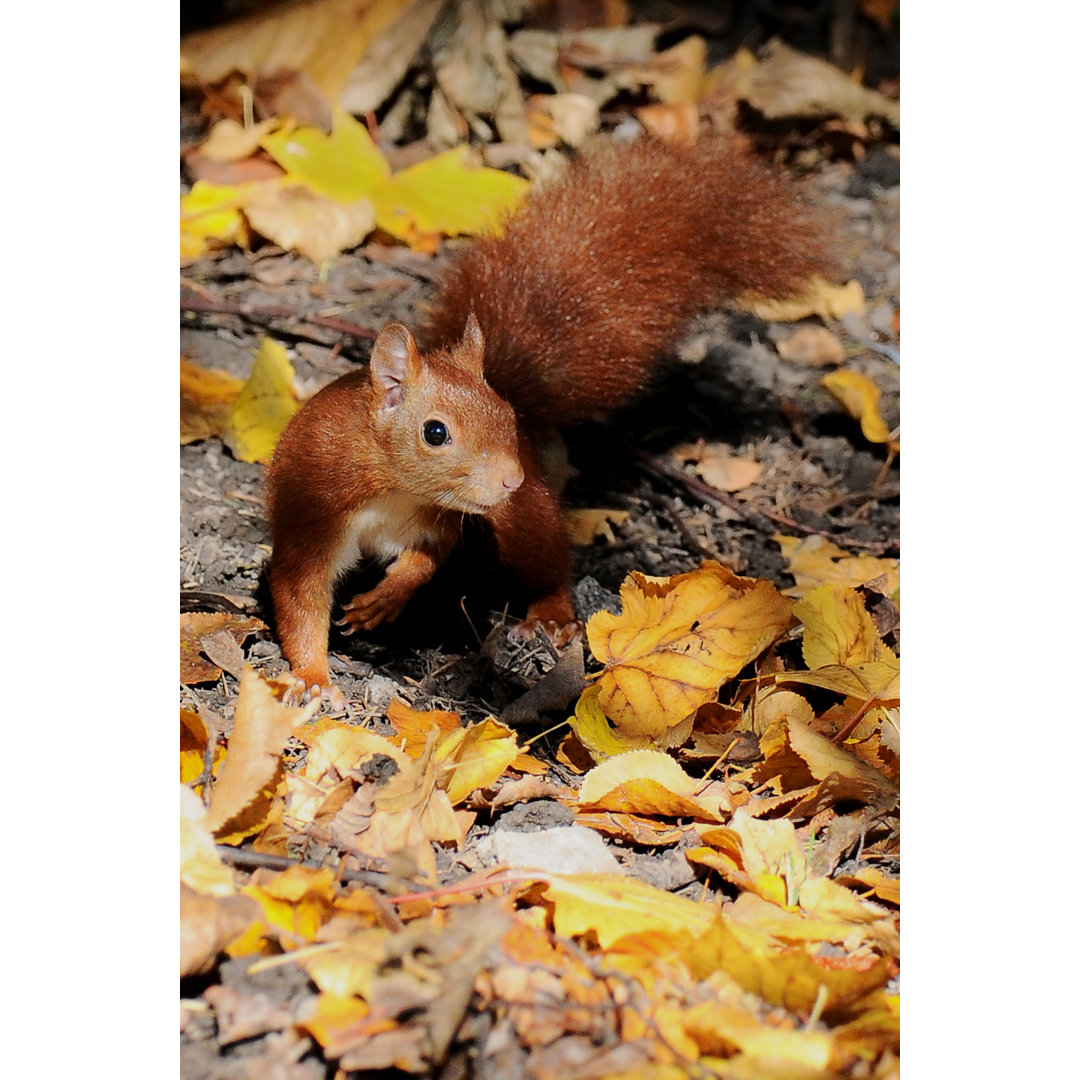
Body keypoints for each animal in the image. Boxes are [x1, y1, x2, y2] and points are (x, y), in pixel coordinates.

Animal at [267, 135, 833, 704]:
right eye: (435, 432)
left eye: (506, 416)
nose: (510, 478)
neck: (392, 488)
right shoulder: (313, 511)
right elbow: (300, 598)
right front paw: (312, 680)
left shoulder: (436, 518)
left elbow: (427, 559)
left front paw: (384, 598)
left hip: (522, 516)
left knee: (548, 559)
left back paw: (552, 614)